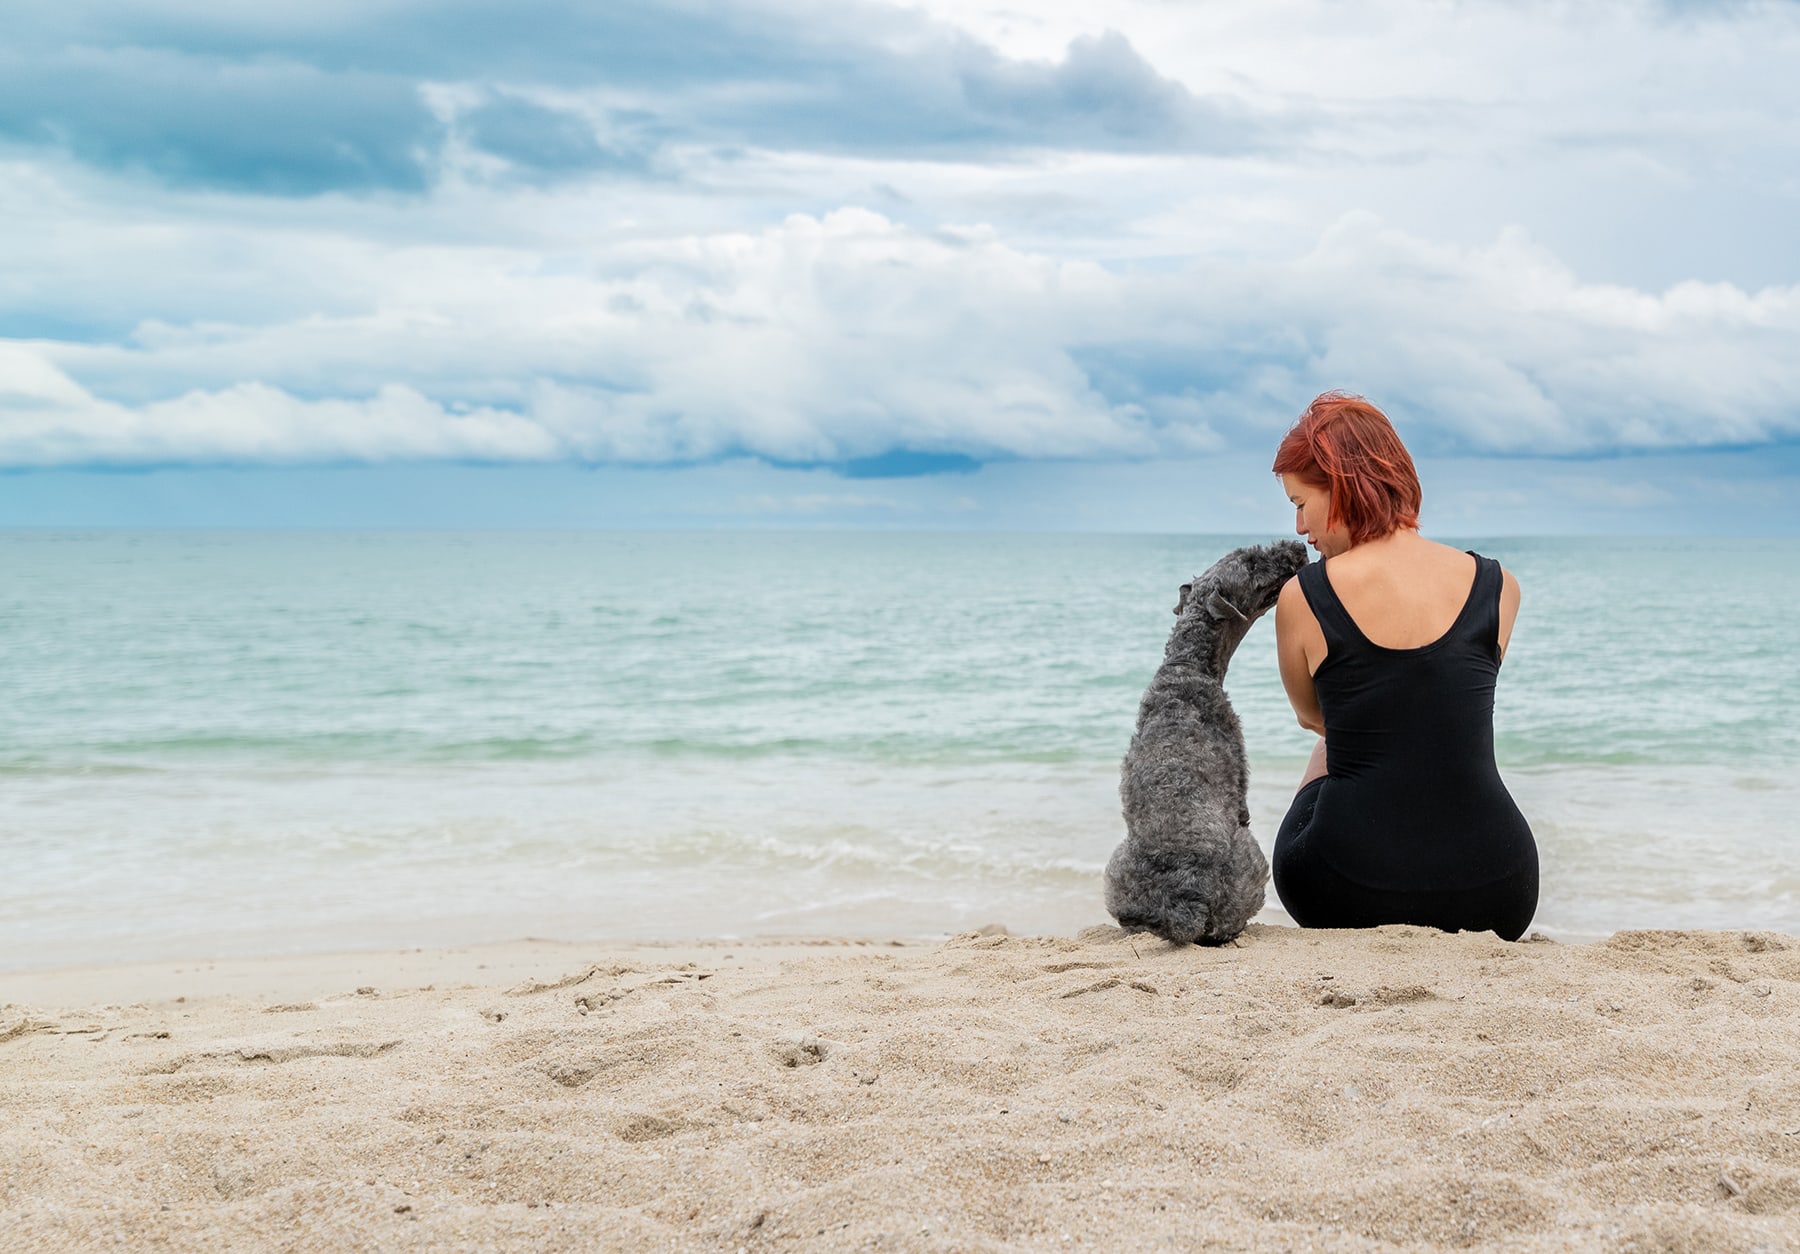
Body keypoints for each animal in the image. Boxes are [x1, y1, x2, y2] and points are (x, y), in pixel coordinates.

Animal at [1094, 536, 1310, 935]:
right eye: (1251, 563)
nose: (1298, 547)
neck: (1187, 665)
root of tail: (1186, 899)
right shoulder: (1240, 778)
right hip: (1251, 854)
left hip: (1116, 868)